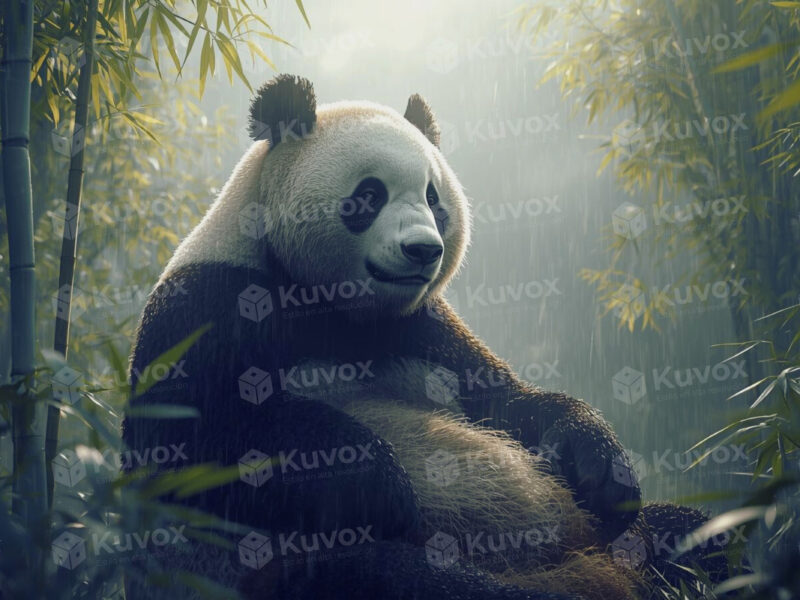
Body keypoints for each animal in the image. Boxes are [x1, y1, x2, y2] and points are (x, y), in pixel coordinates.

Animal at [122, 75, 726, 600]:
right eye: (368, 195)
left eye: (435, 198)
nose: (423, 250)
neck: (330, 305)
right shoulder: (206, 306)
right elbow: (193, 441)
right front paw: (376, 481)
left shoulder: (422, 326)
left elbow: (507, 400)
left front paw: (601, 467)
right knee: (387, 575)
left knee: (697, 529)